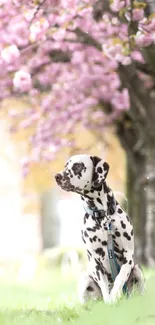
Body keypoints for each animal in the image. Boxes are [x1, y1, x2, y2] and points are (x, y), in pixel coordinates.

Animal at [55, 153, 145, 302]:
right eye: (65, 166)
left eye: (78, 166)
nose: (57, 176)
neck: (102, 217)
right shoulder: (95, 260)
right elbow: (103, 284)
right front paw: (109, 301)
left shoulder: (128, 255)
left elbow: (120, 276)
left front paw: (115, 295)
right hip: (84, 279)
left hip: (138, 270)